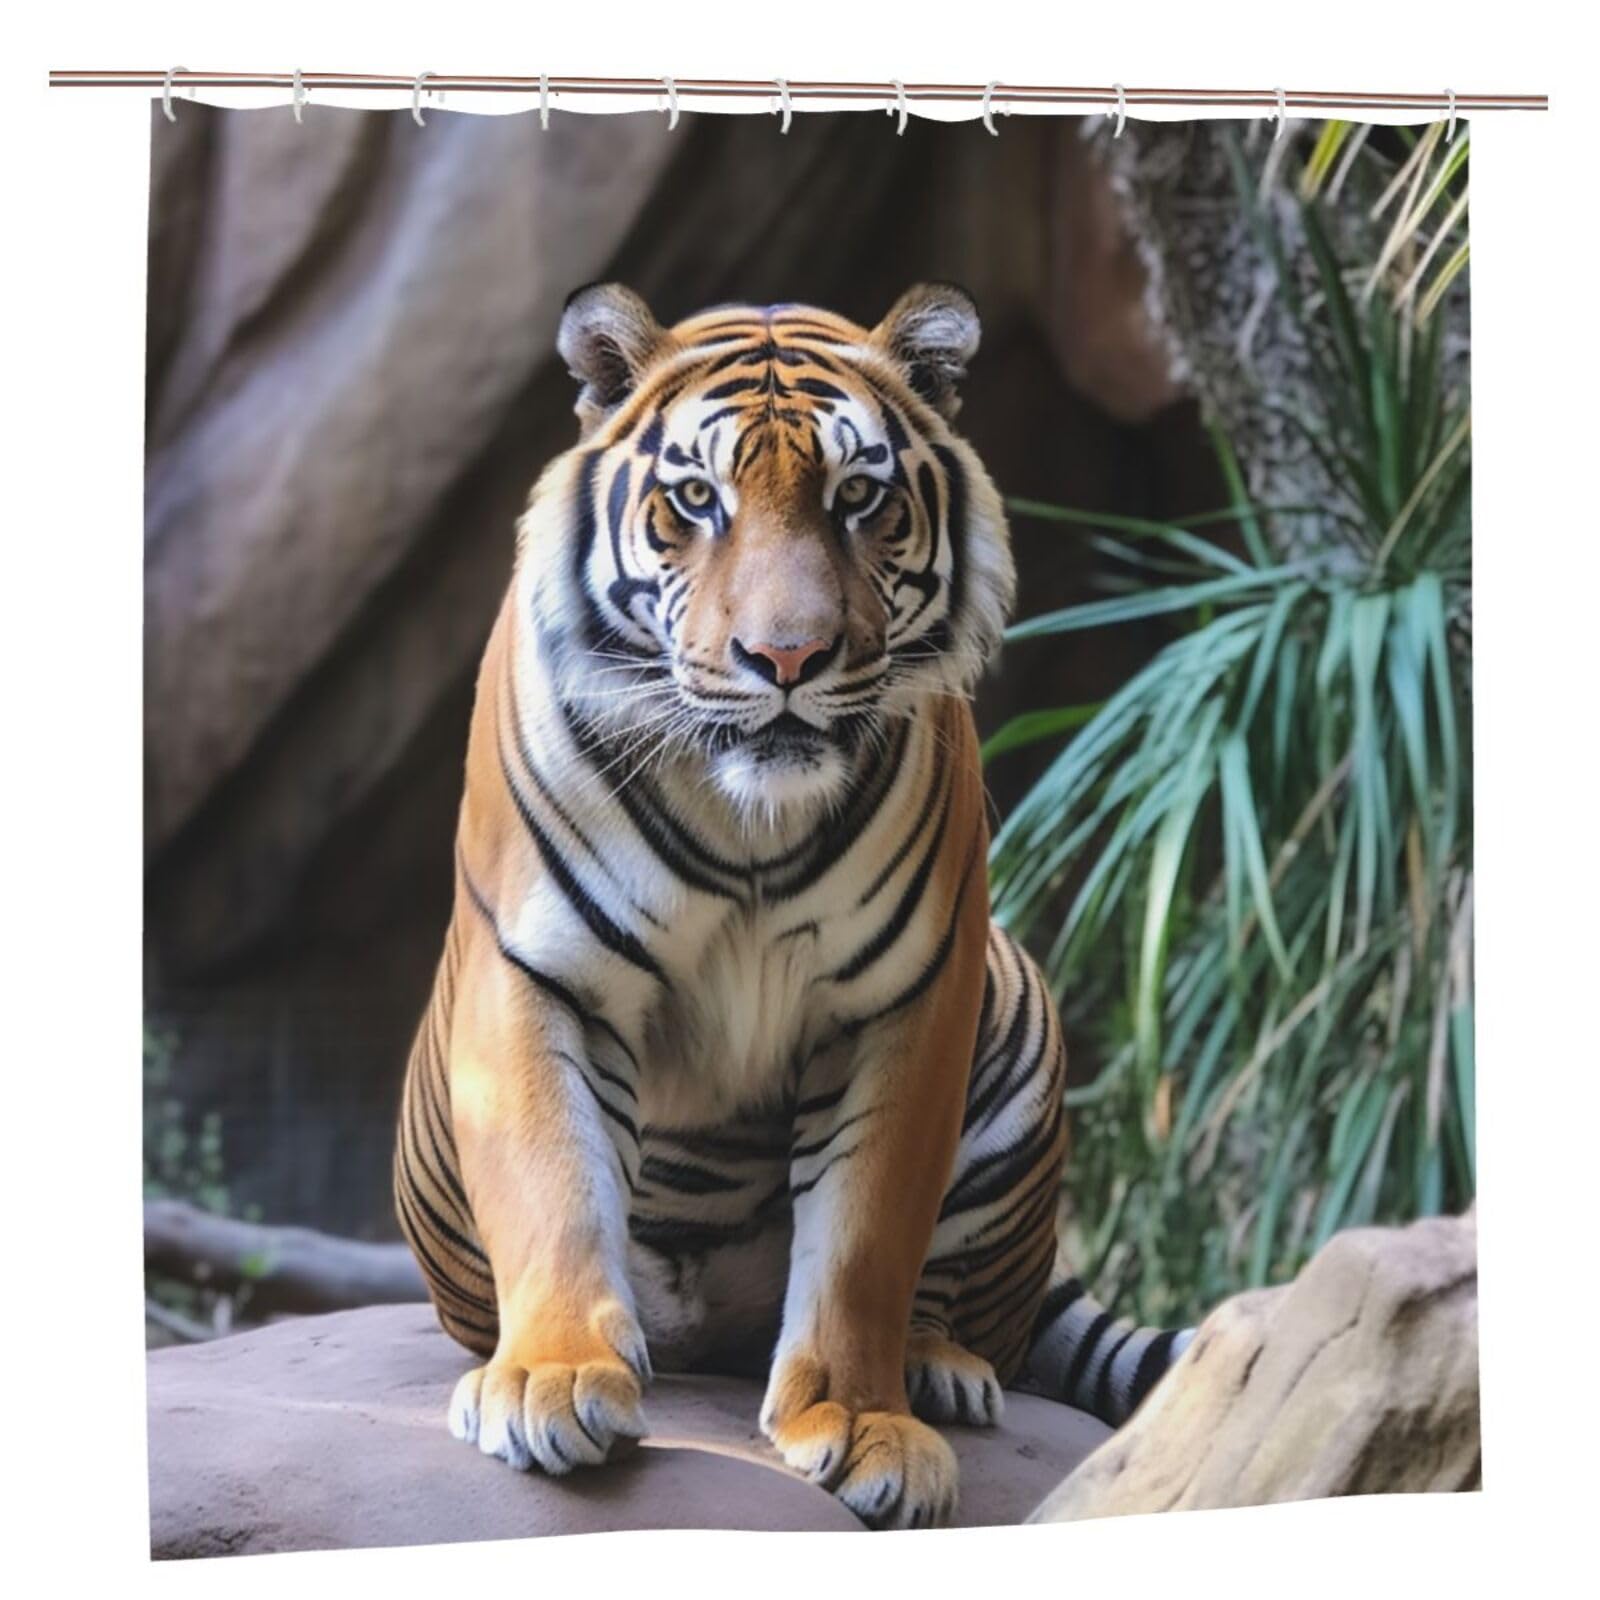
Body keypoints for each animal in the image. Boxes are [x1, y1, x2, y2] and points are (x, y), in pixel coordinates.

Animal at [393, 283, 1188, 1530]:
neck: (745, 822)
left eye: (856, 498)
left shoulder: (911, 992)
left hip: (1018, 1002)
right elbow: (551, 1182)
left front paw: (864, 1423)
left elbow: (866, 1236)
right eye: (694, 500)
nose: (787, 656)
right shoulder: (532, 970)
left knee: (976, 1313)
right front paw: (553, 1380)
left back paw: (939, 1369)